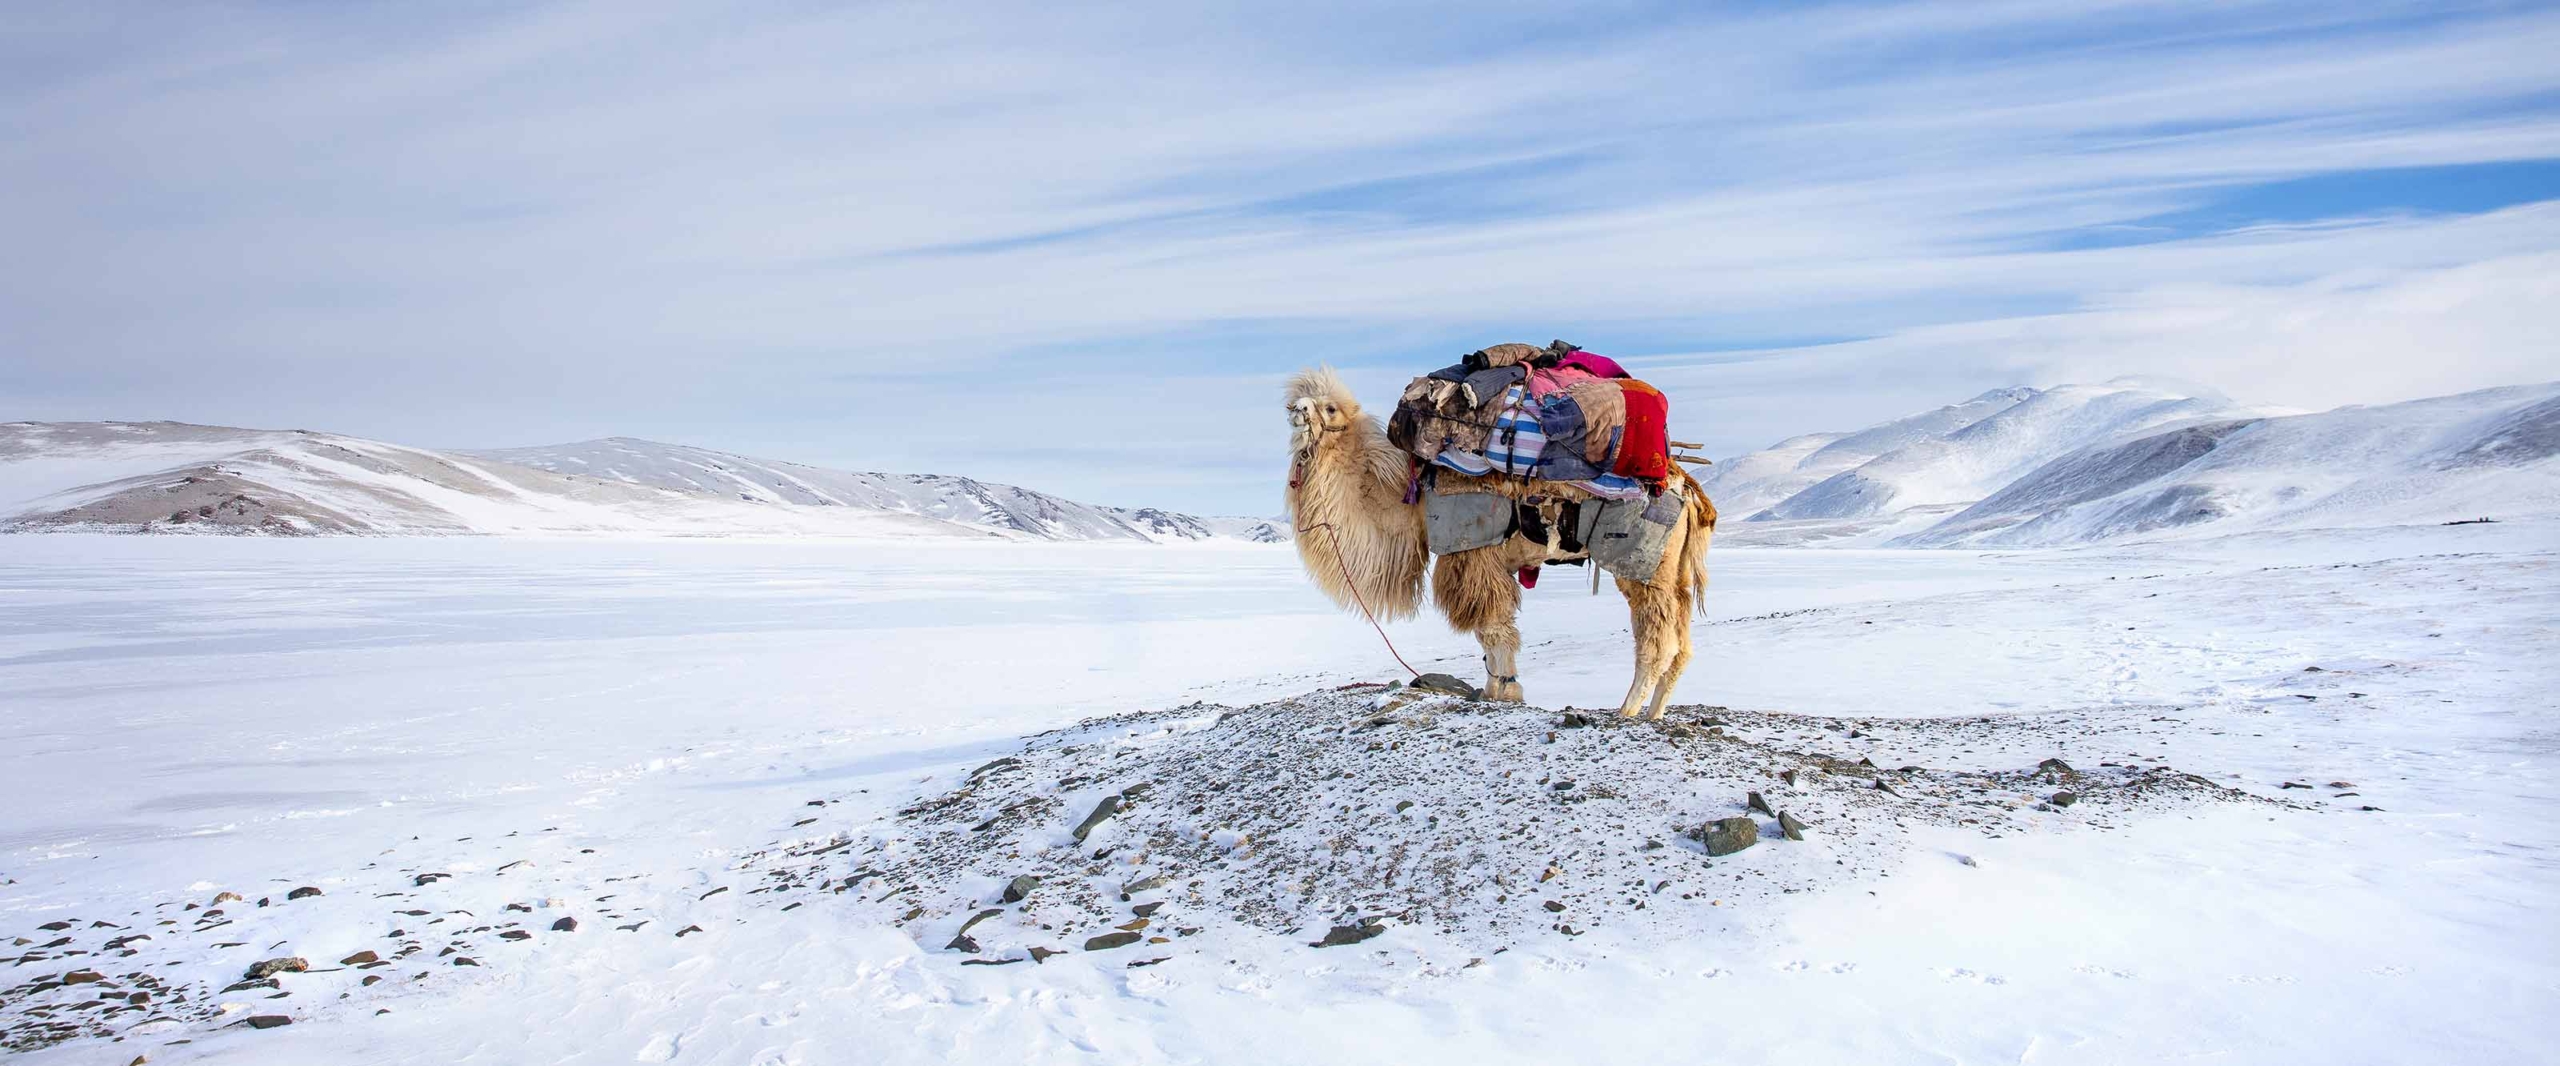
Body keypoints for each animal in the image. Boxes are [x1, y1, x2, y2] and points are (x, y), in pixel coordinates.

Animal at [1283, 365, 1717, 719]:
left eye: (1330, 408)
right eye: (1296, 400)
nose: (1297, 410)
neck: (1413, 502)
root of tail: (1689, 490)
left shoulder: (1471, 553)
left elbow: (1494, 628)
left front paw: (1506, 691)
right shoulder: (1484, 562)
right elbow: (1490, 631)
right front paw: (1495, 688)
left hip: (1641, 563)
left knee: (1657, 640)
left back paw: (1626, 710)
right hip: (1673, 571)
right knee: (1682, 644)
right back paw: (1654, 712)